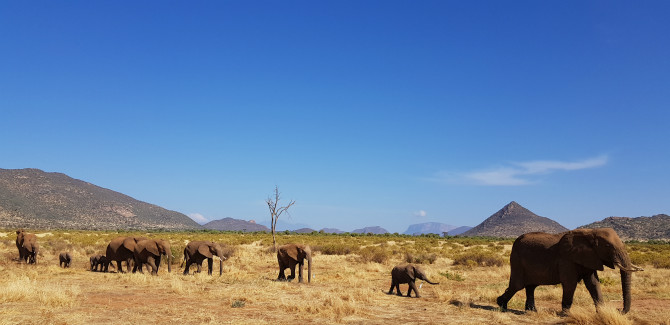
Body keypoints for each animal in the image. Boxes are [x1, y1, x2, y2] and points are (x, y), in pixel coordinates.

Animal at [498, 227, 644, 312]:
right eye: (607, 246)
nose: (619, 310)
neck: (590, 232)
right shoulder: (566, 259)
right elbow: (570, 283)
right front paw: (565, 315)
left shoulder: (590, 258)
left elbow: (593, 283)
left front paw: (602, 313)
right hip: (516, 260)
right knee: (517, 285)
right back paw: (501, 305)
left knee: (531, 286)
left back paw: (531, 311)